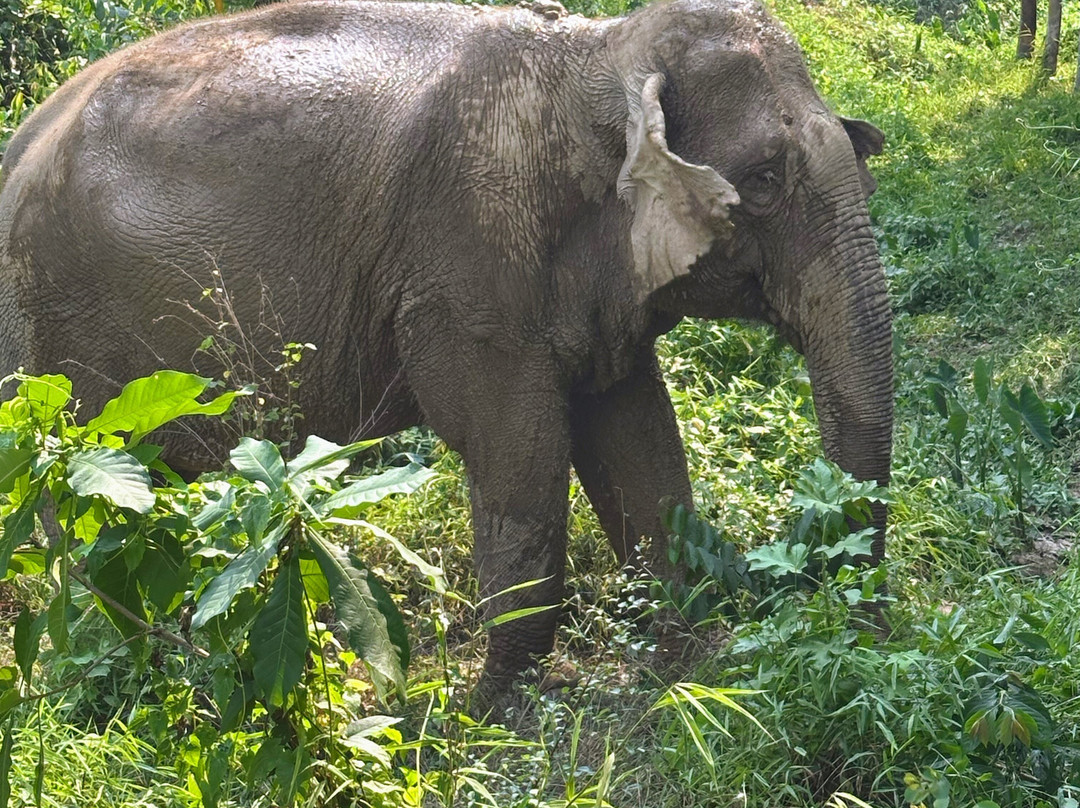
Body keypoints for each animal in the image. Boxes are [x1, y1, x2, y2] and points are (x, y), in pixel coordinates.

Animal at [0, 0, 893, 691]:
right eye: (766, 181)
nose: (858, 629)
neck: (599, 51)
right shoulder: (466, 268)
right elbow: (519, 453)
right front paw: (501, 710)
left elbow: (637, 436)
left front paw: (685, 667)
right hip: (52, 354)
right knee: (85, 517)